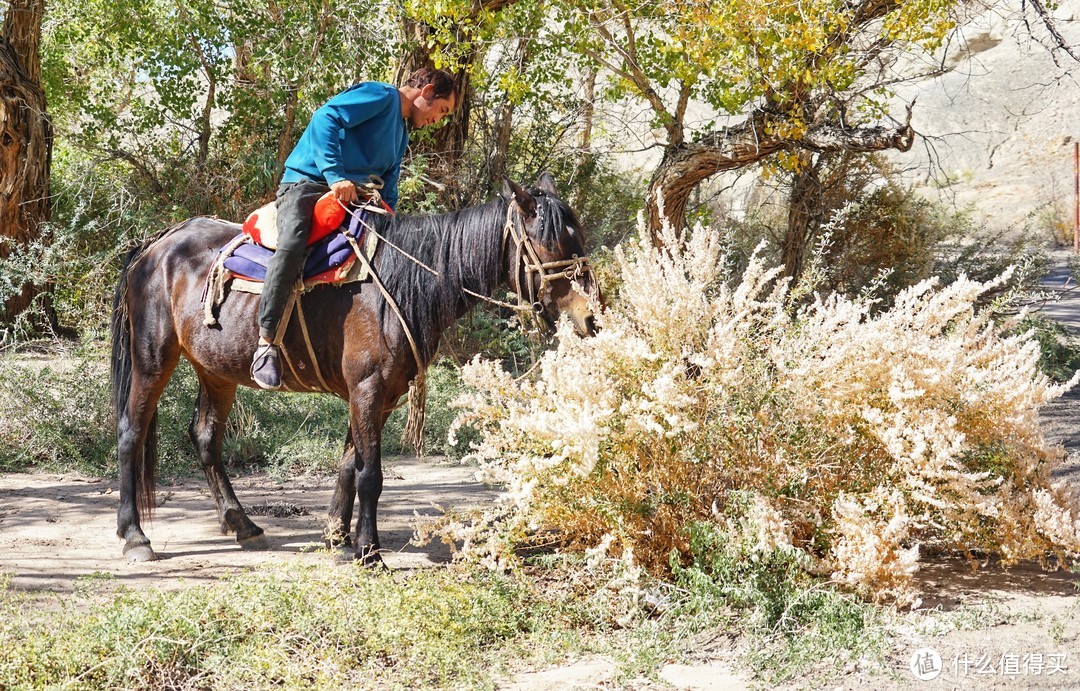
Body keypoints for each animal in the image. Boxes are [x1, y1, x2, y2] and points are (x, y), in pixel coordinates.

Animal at [111, 172, 600, 561]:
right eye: (553, 240)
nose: (590, 318)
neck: (401, 283)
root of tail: (156, 246)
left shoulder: (379, 396)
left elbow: (350, 464)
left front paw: (335, 535)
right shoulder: (367, 389)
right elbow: (371, 475)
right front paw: (368, 551)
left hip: (216, 370)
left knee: (206, 438)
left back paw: (242, 523)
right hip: (153, 358)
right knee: (131, 432)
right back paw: (135, 536)